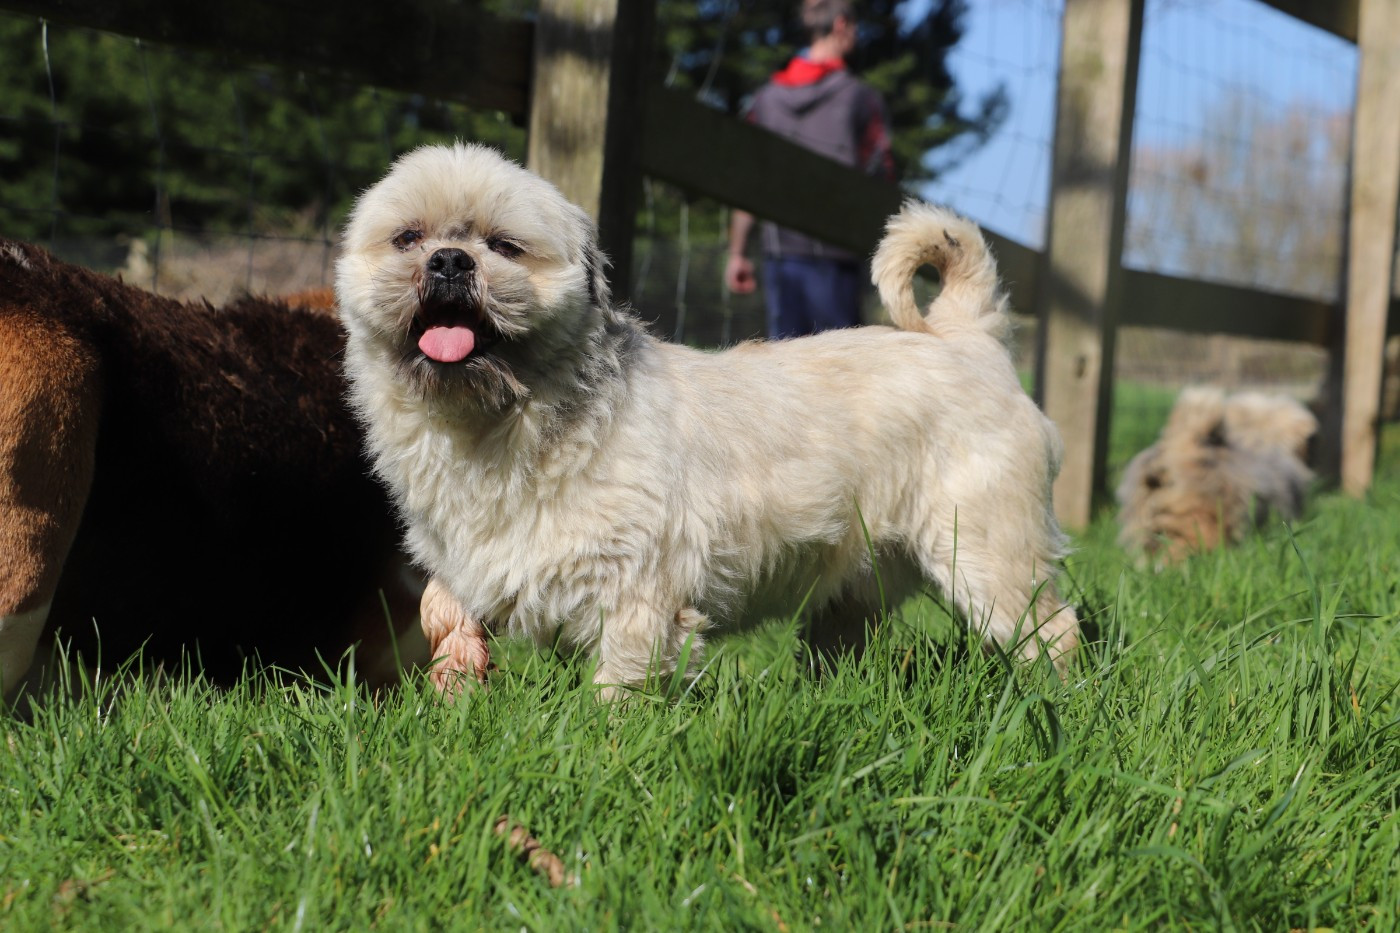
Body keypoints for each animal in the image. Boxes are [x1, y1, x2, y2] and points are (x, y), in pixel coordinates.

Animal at [335, 143, 1081, 697]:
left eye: (505, 246)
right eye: (408, 237)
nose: (449, 259)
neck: (507, 418)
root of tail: (967, 337)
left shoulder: (639, 595)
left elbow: (622, 687)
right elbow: (448, 623)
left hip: (986, 555)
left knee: (1053, 631)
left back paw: (1060, 706)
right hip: (859, 585)